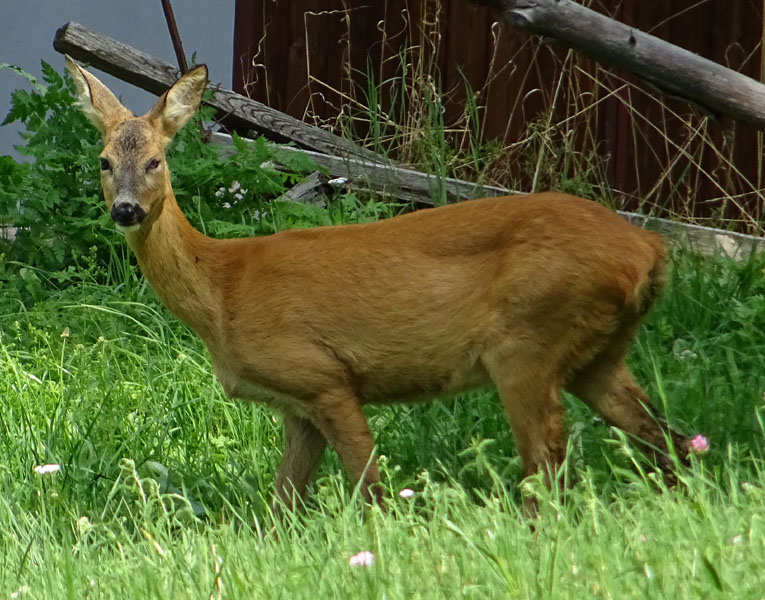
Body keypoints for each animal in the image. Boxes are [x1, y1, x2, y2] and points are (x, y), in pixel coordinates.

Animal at [67, 56, 692, 512]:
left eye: (154, 160)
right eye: (103, 161)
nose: (125, 210)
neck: (222, 290)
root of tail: (649, 248)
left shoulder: (324, 376)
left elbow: (371, 491)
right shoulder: (297, 406)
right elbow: (281, 506)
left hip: (528, 341)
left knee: (549, 471)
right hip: (597, 353)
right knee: (669, 440)